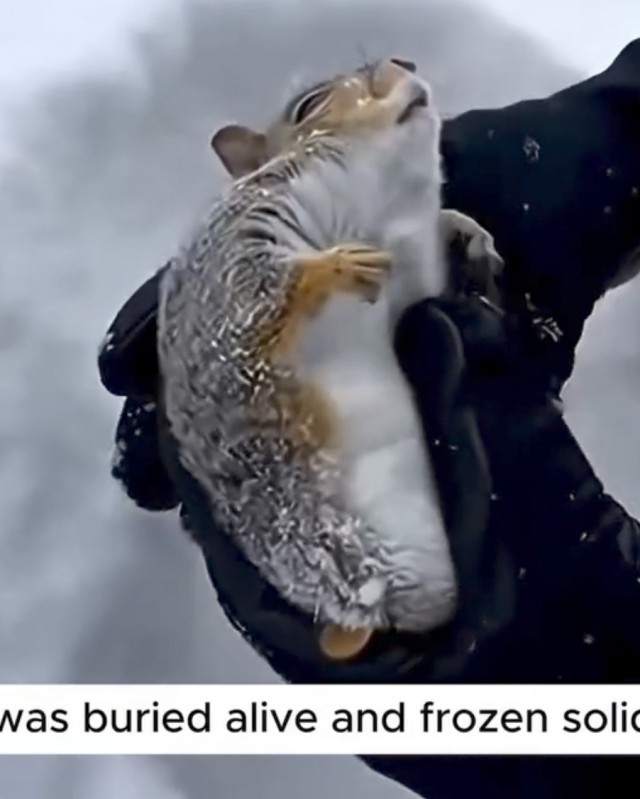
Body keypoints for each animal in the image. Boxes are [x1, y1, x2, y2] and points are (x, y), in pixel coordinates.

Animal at [157, 58, 503, 661]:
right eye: (309, 106)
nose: (404, 63)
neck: (380, 209)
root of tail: (357, 612)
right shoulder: (237, 262)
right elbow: (266, 295)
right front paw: (339, 266)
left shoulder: (421, 274)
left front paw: (468, 230)